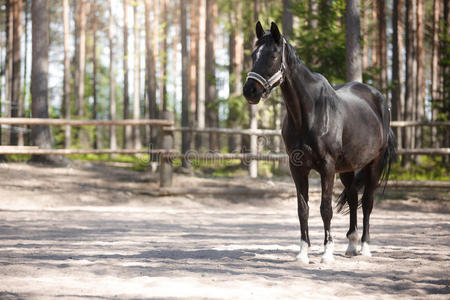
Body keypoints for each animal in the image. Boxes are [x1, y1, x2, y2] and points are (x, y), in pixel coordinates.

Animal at [243, 22, 394, 264]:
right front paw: (303, 253)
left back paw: (364, 247)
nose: (250, 91)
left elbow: (326, 209)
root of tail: (379, 100)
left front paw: (327, 253)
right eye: (253, 54)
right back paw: (351, 245)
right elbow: (302, 209)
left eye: (273, 55)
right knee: (353, 198)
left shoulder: (327, 167)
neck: (310, 112)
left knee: (368, 202)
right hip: (348, 168)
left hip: (374, 164)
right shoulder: (297, 168)